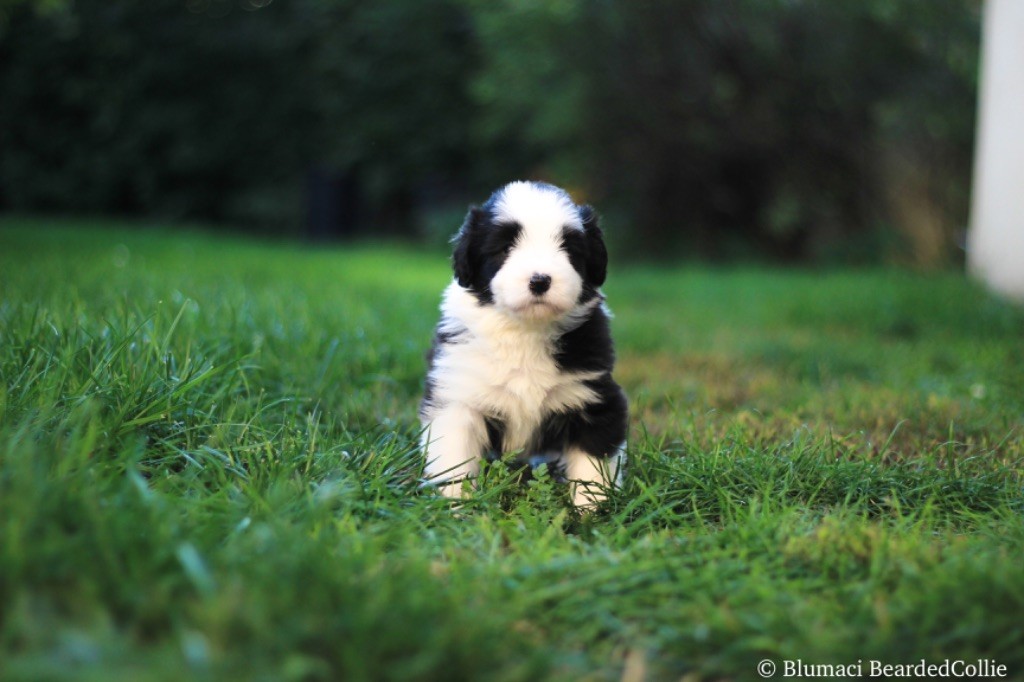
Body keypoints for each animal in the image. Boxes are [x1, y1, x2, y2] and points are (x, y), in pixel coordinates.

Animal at [419, 180, 626, 503]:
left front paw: (591, 510)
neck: (525, 330)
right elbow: (455, 462)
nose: (540, 280)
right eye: (505, 248)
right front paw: (456, 505)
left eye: (568, 248)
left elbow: (592, 468)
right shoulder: (459, 397)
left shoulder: (594, 398)